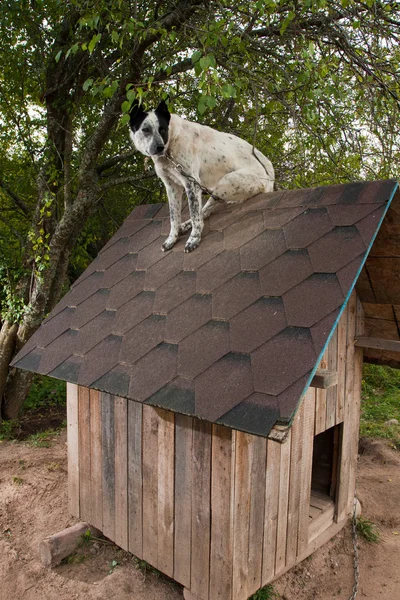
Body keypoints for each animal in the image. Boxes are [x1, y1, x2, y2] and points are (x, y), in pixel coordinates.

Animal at [130, 99, 274, 253]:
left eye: (162, 129)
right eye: (145, 130)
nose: (159, 148)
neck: (170, 147)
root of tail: (267, 173)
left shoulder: (191, 183)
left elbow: (195, 216)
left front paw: (194, 239)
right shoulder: (171, 187)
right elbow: (174, 217)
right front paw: (172, 239)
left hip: (226, 182)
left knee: (204, 212)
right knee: (204, 211)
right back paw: (184, 226)